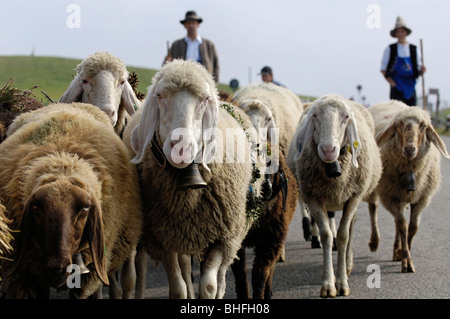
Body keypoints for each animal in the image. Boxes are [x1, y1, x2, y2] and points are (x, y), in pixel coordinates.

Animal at [0, 103, 142, 300]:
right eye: (36, 208)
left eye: (85, 208)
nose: (56, 270)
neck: (62, 164)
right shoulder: (25, 277)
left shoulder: (89, 275)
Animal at [123, 59, 260, 300]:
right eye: (159, 95)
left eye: (205, 99)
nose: (181, 148)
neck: (187, 198)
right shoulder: (162, 238)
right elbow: (177, 287)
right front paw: (184, 293)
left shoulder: (222, 238)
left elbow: (209, 286)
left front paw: (209, 293)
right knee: (186, 267)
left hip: (235, 235)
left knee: (222, 274)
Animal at [290, 94, 382, 298]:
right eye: (315, 115)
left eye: (346, 117)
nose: (328, 150)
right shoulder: (313, 197)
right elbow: (326, 235)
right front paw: (328, 283)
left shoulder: (354, 197)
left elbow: (343, 236)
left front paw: (342, 282)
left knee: (351, 228)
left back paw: (347, 264)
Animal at [366, 101, 450, 274]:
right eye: (399, 124)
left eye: (424, 126)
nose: (410, 149)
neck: (410, 168)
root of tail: (391, 101)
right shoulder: (391, 197)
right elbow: (402, 226)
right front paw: (406, 260)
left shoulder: (422, 198)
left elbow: (412, 227)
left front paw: (403, 253)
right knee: (373, 208)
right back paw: (374, 241)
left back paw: (396, 250)